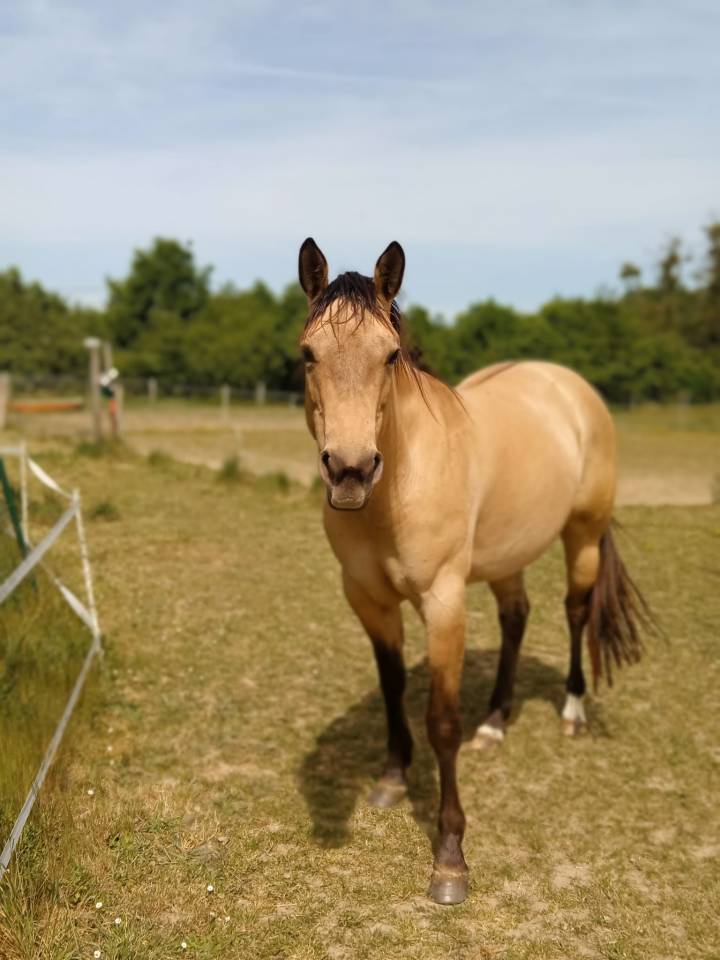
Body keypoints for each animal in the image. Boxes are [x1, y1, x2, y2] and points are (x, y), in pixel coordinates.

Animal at [297, 237, 648, 905]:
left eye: (389, 355)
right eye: (308, 353)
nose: (350, 471)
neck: (397, 487)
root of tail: (569, 387)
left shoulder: (444, 601)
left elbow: (441, 720)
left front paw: (450, 860)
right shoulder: (369, 599)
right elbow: (392, 688)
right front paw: (392, 778)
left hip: (583, 536)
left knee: (574, 611)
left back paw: (571, 713)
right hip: (510, 553)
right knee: (516, 618)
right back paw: (496, 722)